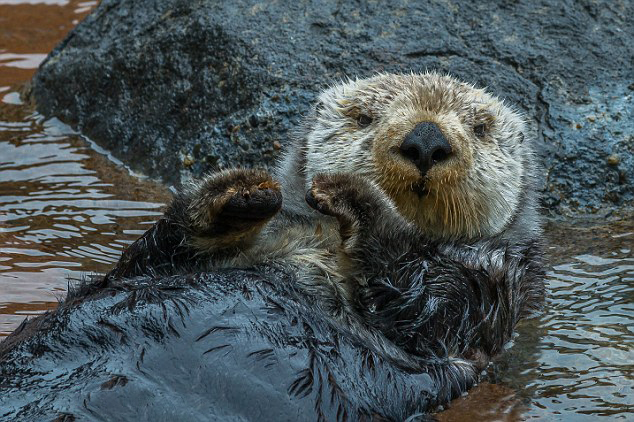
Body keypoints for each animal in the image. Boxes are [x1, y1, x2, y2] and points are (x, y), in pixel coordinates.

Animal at [0, 72, 544, 418]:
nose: (426, 139)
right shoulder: (166, 261)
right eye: (364, 117)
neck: (320, 238)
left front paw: (354, 197)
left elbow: (424, 306)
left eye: (480, 127)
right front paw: (240, 192)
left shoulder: (491, 286)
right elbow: (153, 255)